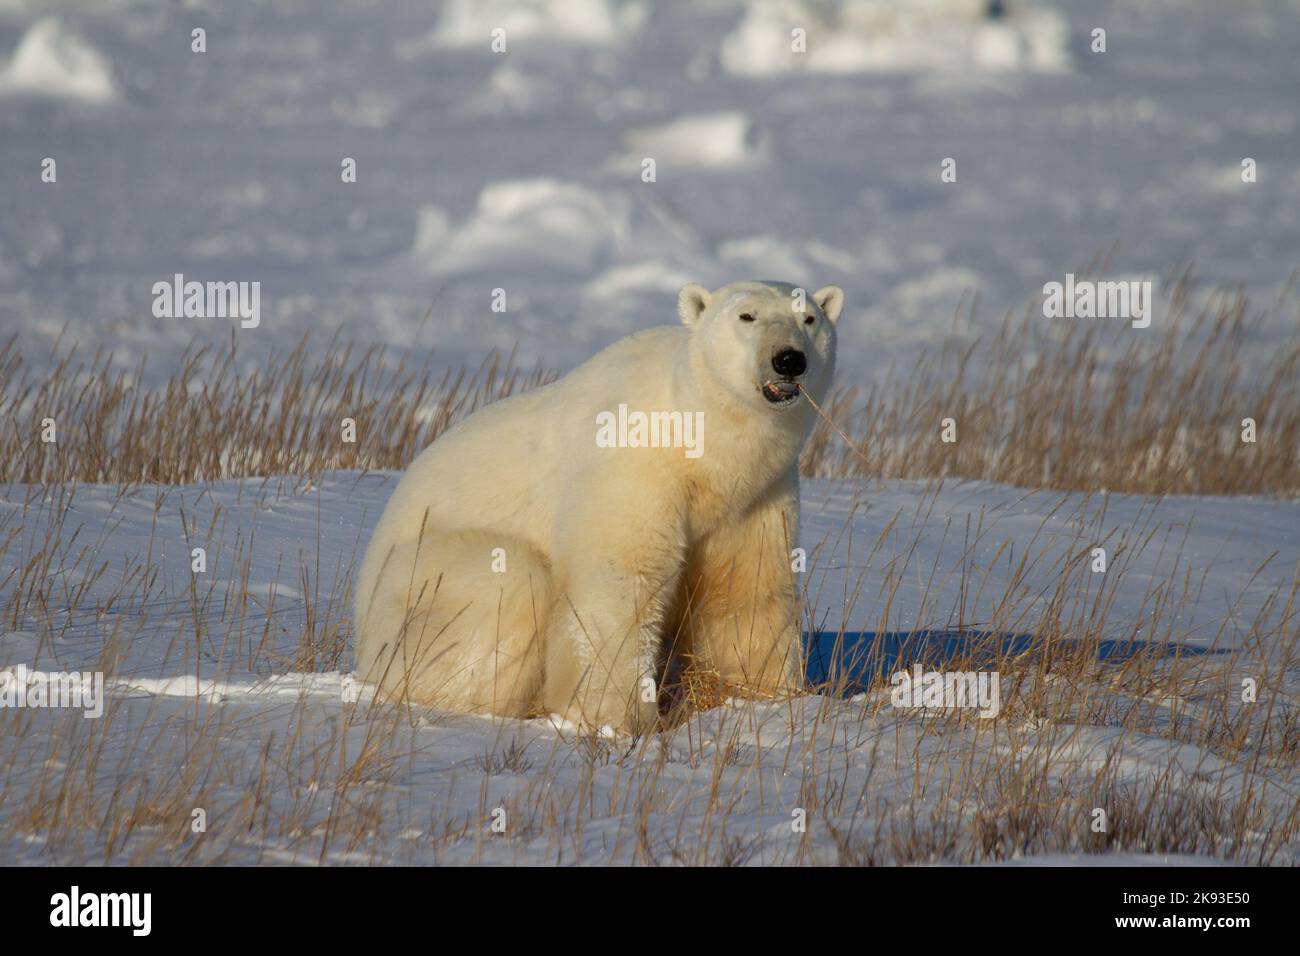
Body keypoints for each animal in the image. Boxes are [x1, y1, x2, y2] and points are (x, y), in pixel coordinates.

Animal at [356, 278, 842, 733]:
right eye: (747, 316)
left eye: (808, 319)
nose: (789, 360)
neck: (699, 442)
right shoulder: (631, 466)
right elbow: (621, 581)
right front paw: (619, 720)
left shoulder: (753, 498)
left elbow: (749, 588)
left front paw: (764, 697)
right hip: (415, 583)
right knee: (510, 578)